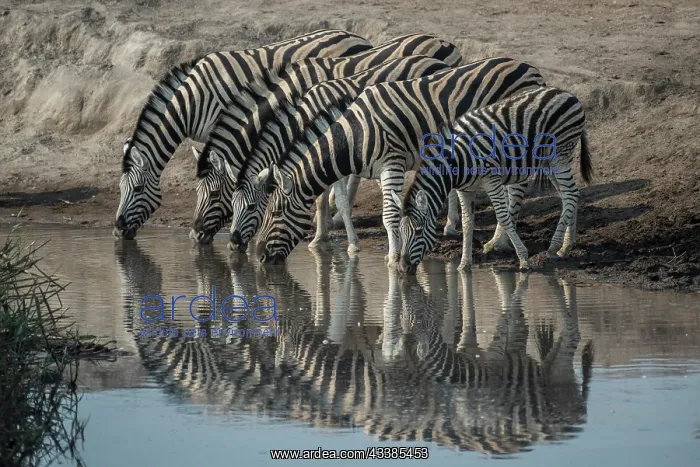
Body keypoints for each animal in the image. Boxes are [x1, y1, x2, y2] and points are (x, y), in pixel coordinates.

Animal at [189, 33, 462, 245]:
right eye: (231, 202)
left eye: (251, 207)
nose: (233, 243)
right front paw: (323, 234)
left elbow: (325, 194)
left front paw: (330, 236)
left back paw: (449, 223)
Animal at [253, 57, 547, 265]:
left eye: (275, 213)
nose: (259, 257)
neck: (354, 135)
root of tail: (532, 69)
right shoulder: (381, 169)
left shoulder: (391, 164)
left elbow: (388, 215)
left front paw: (392, 258)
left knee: (515, 190)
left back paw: (499, 242)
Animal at [395, 86, 593, 274]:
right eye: (400, 232)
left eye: (418, 232)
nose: (402, 268)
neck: (457, 160)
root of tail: (566, 93)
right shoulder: (465, 189)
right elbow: (467, 223)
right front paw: (464, 265)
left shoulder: (492, 180)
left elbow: (503, 217)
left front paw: (523, 259)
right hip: (549, 163)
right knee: (569, 195)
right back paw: (566, 247)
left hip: (559, 155)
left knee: (570, 194)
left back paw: (553, 247)